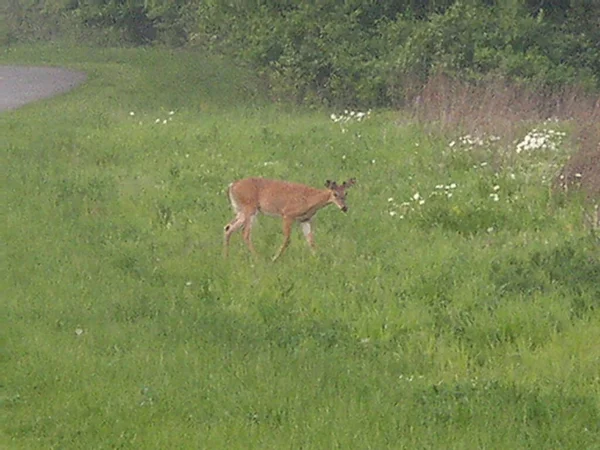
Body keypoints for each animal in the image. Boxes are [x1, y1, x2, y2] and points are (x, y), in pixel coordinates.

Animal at [225, 176, 356, 260]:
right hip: (249, 208)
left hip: (241, 211)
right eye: (335, 194)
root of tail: (232, 186)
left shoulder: (305, 219)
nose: (344, 208)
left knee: (228, 227)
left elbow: (310, 241)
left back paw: (226, 257)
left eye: (346, 193)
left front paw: (317, 258)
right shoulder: (287, 214)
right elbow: (287, 239)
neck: (310, 200)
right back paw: (258, 258)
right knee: (245, 233)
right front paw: (275, 258)